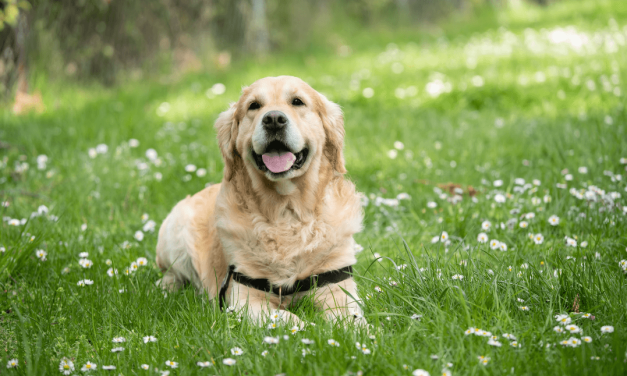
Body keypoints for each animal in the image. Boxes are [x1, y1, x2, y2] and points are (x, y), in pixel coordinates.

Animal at [155, 75, 366, 326]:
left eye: (298, 101)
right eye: (254, 106)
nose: (274, 119)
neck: (286, 212)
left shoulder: (337, 287)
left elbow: (352, 320)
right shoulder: (244, 299)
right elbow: (289, 319)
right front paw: (310, 328)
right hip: (175, 231)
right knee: (171, 274)